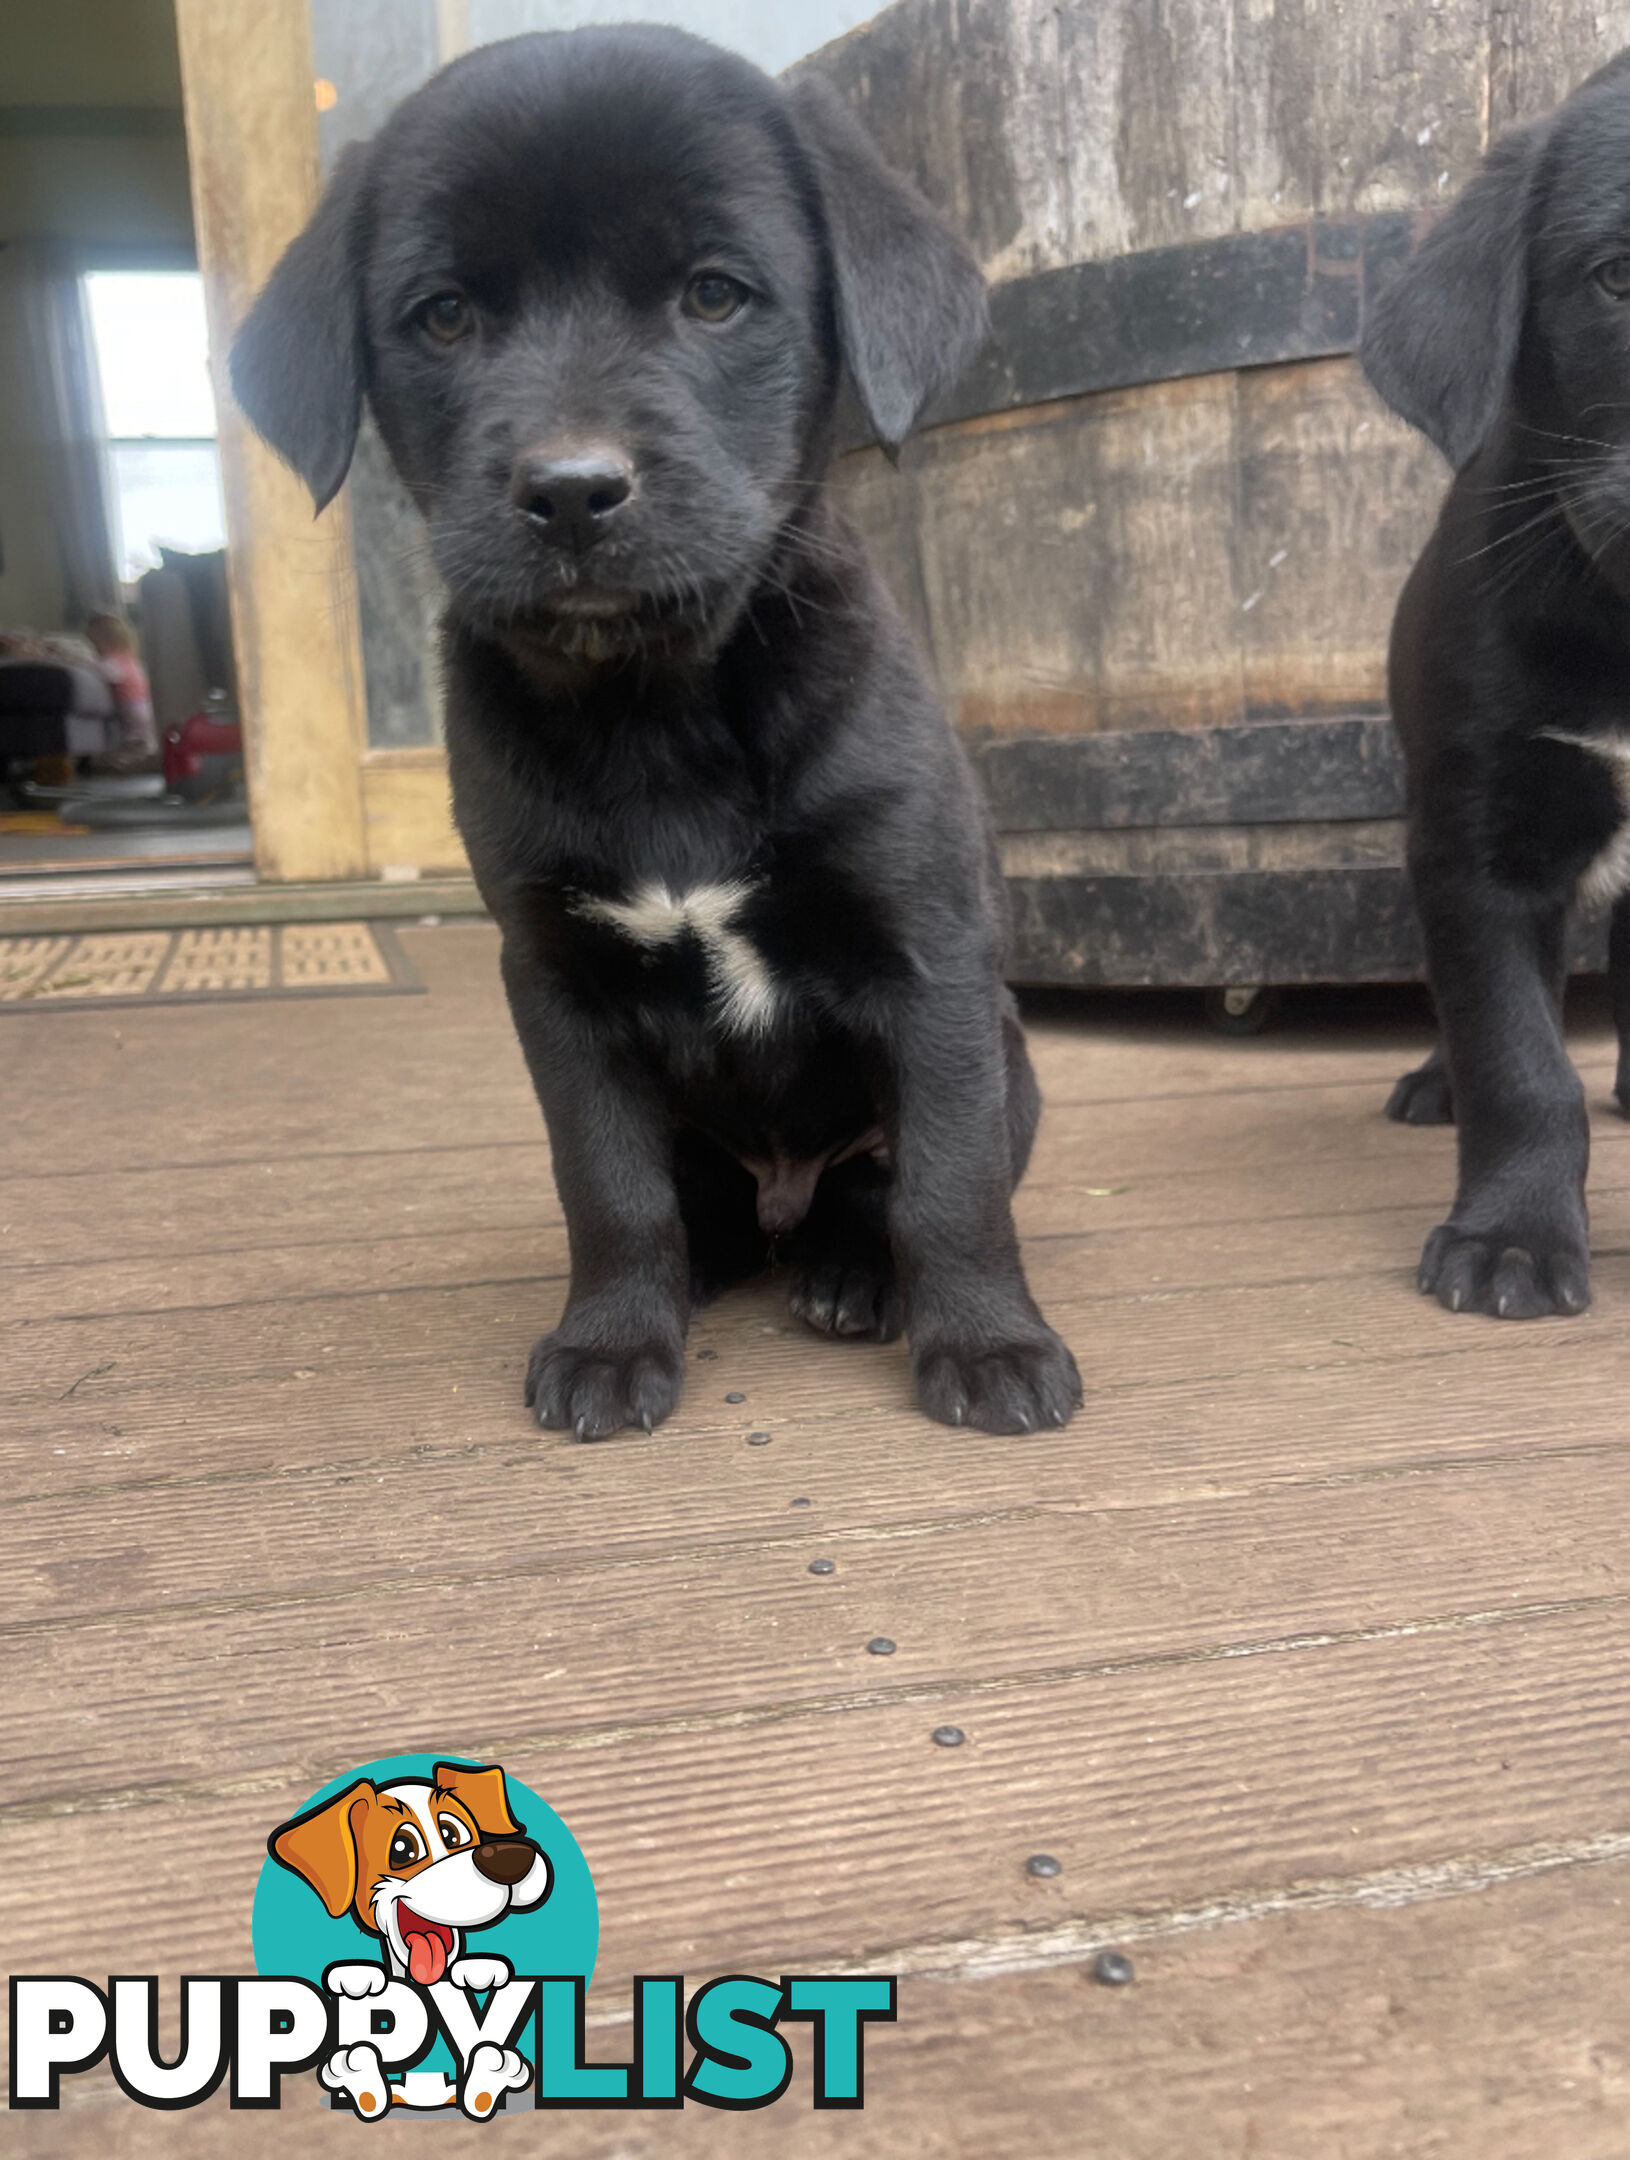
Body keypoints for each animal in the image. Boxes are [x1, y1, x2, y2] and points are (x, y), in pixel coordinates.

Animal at [233, 29, 1083, 1434]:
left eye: (715, 295)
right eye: (445, 315)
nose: (571, 492)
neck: (655, 708)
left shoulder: (931, 964)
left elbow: (948, 1184)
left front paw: (989, 1346)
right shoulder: (555, 985)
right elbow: (610, 1189)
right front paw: (611, 1341)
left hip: (1012, 1064)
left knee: (875, 1189)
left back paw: (853, 1276)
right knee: (703, 1206)